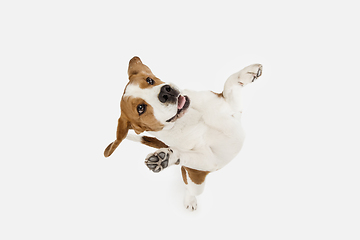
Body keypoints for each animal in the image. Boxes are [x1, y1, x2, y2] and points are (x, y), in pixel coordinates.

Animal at [103, 56, 262, 210]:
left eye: (149, 80)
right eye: (140, 108)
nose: (165, 91)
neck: (192, 117)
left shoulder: (232, 109)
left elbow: (229, 83)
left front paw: (248, 73)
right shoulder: (210, 161)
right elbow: (183, 155)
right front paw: (165, 158)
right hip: (196, 182)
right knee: (189, 186)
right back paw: (189, 198)